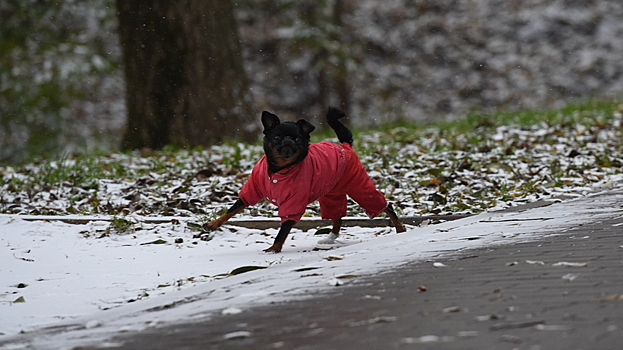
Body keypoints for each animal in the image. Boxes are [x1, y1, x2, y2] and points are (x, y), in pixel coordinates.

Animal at [205, 106, 408, 252]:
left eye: (297, 138)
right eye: (277, 137)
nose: (288, 139)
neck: (279, 169)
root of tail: (344, 146)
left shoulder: (293, 204)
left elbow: (283, 230)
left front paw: (273, 249)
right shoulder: (253, 190)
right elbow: (233, 209)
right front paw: (213, 224)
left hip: (359, 187)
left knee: (385, 205)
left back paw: (400, 229)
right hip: (330, 194)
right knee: (337, 217)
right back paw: (329, 238)